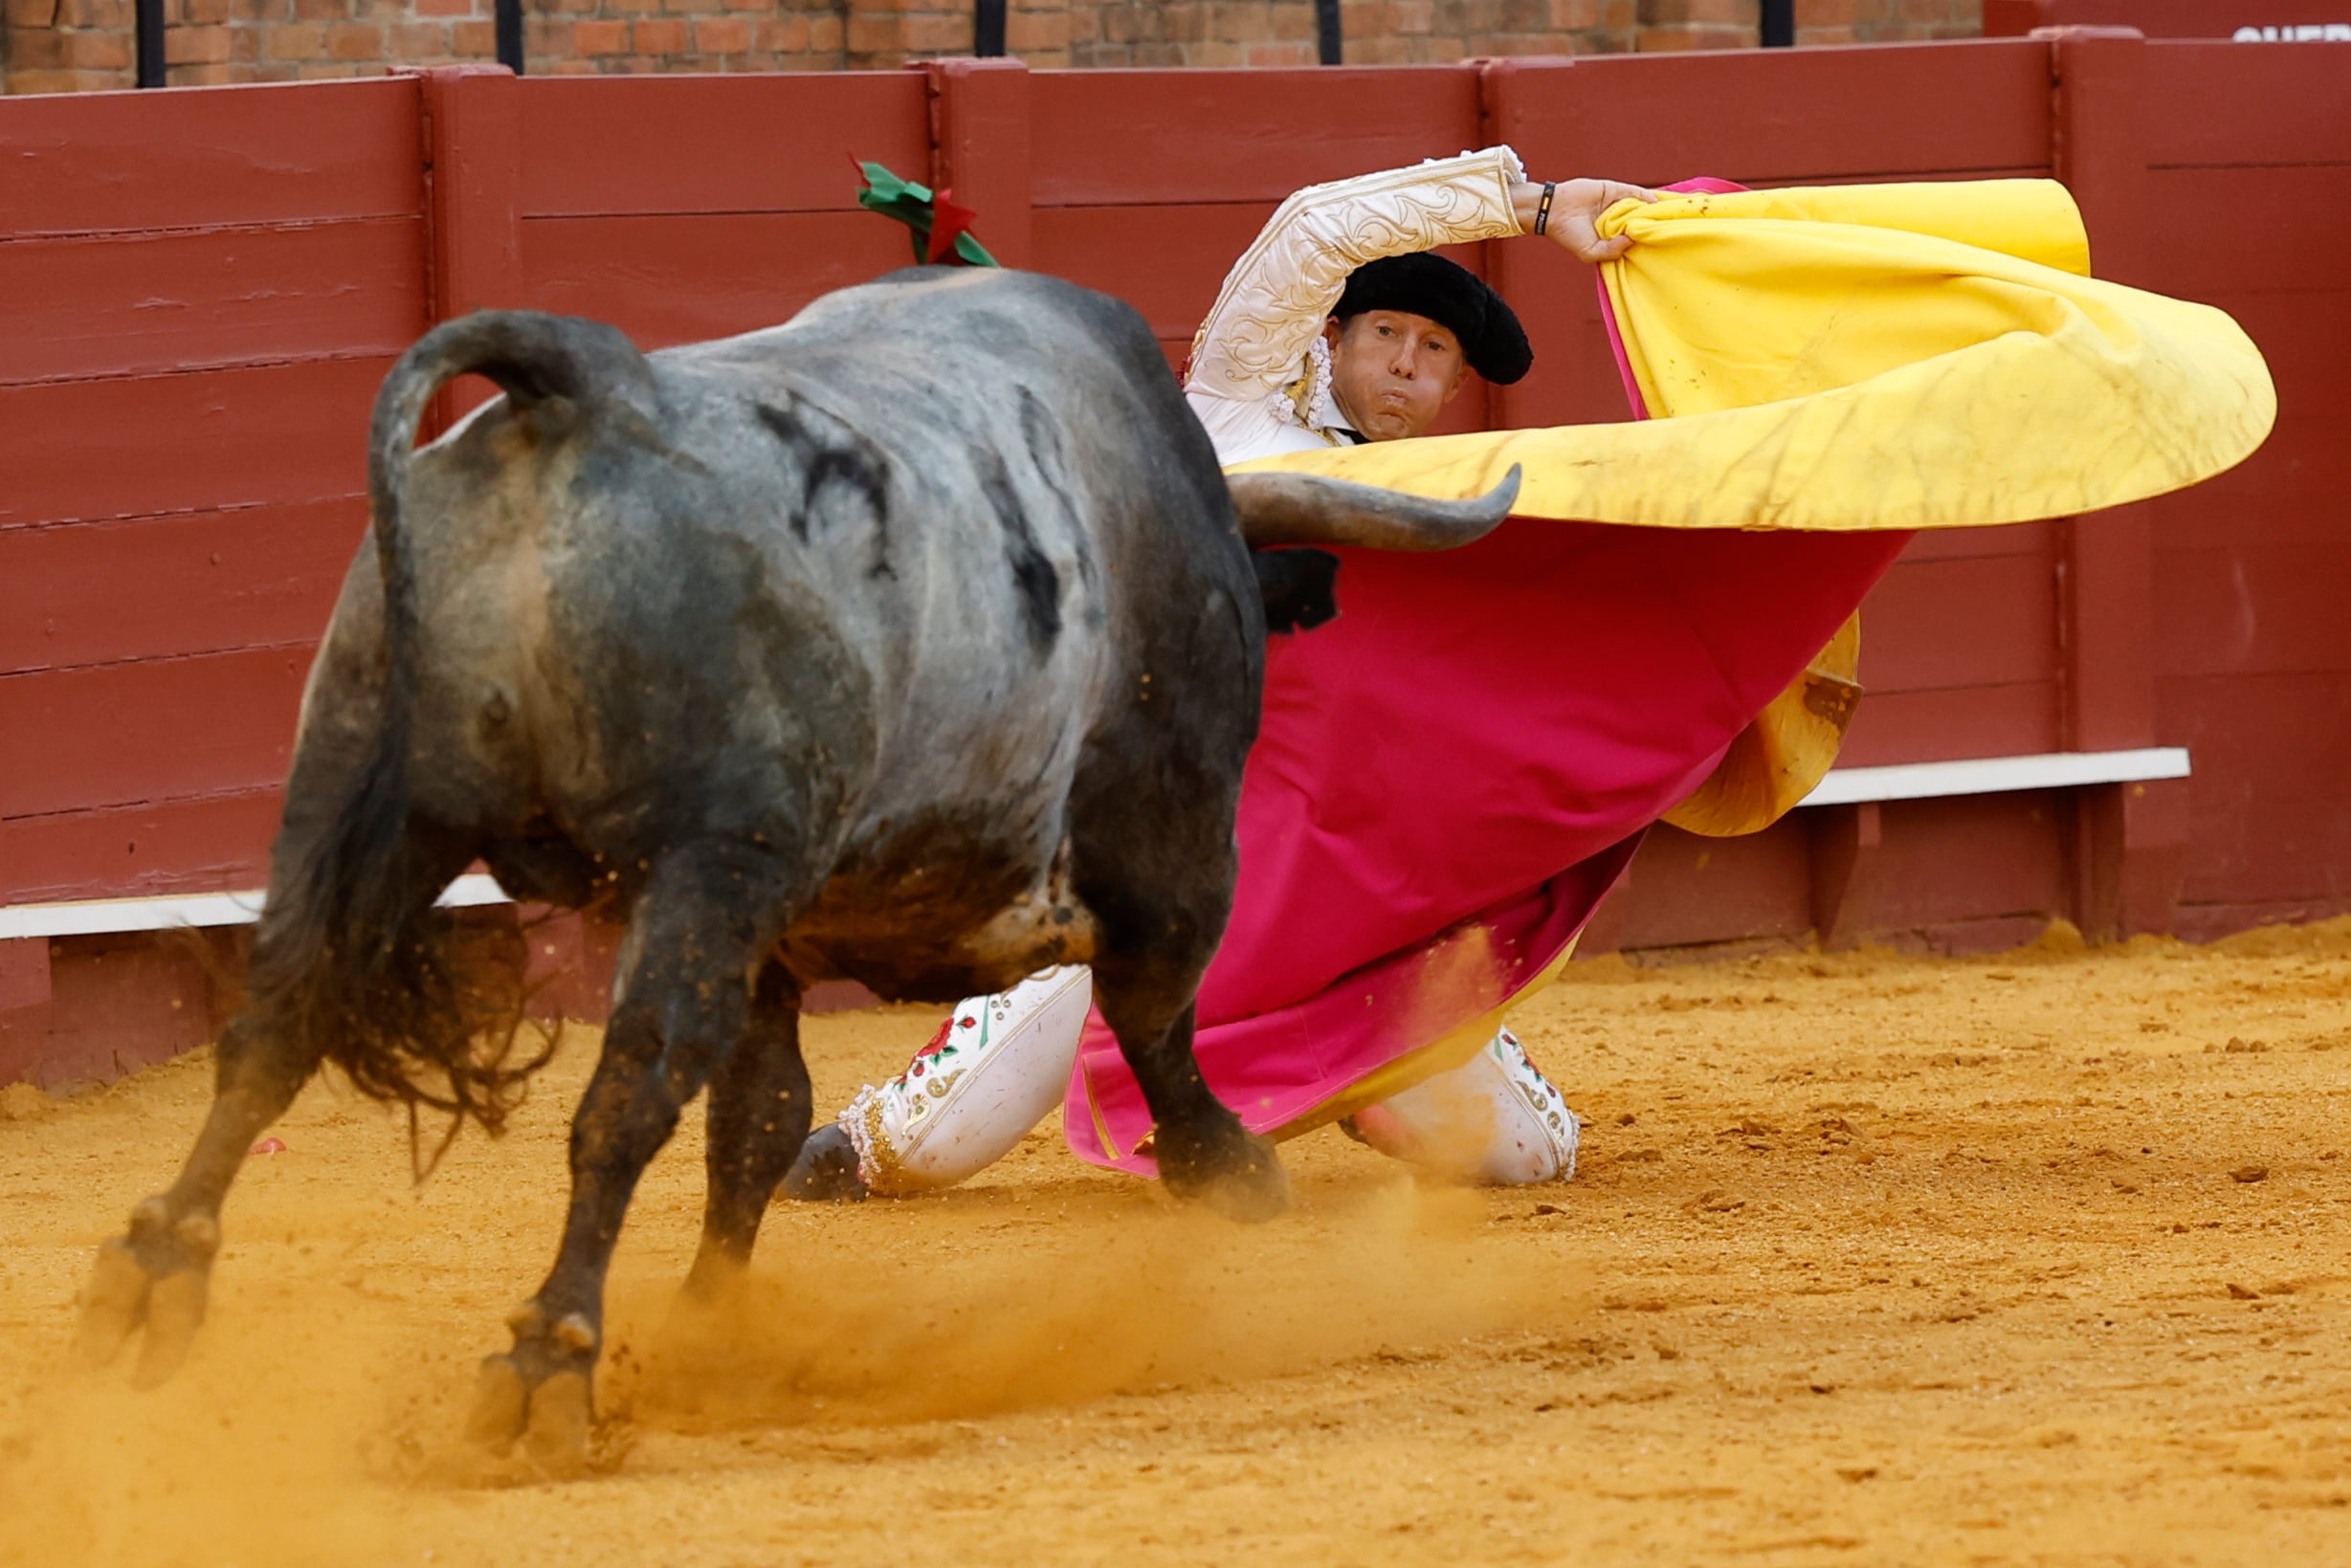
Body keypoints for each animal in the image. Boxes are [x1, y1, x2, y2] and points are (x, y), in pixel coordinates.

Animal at [73, 266, 1514, 1476]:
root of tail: (587, 392)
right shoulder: (1168, 836)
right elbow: (1155, 1015)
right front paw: (1226, 1168)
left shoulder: (776, 934)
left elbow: (759, 1121)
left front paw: (714, 1321)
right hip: (709, 860)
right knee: (624, 1096)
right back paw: (546, 1360)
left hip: (358, 785)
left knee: (278, 1019)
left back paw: (152, 1280)